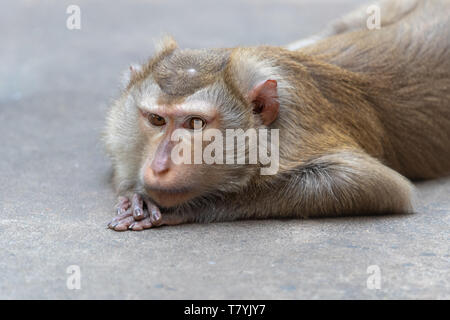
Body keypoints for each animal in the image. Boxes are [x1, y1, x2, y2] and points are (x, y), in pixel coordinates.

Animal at [104, 0, 446, 230]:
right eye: (156, 119)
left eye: (195, 123)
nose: (159, 166)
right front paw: (136, 192)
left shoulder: (295, 132)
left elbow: (373, 185)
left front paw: (190, 206)